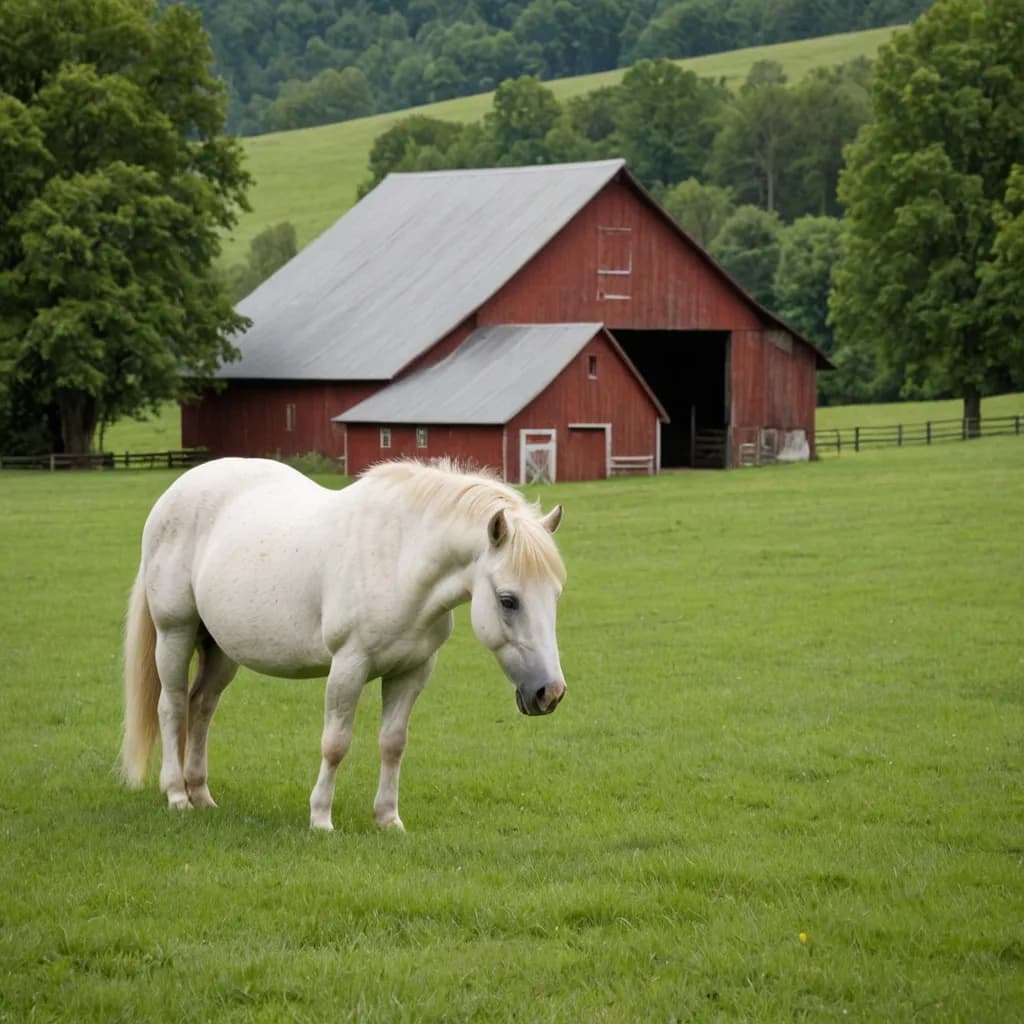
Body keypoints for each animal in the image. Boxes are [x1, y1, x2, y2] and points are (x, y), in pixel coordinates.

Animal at [119, 456, 567, 831]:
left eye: (556, 595)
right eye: (508, 600)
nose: (550, 693)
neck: (399, 558)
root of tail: (177, 490)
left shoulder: (411, 672)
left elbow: (393, 744)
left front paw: (388, 819)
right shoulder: (349, 667)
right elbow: (335, 744)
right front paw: (321, 818)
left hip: (222, 650)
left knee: (201, 708)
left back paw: (200, 793)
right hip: (175, 633)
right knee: (173, 706)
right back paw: (177, 795)